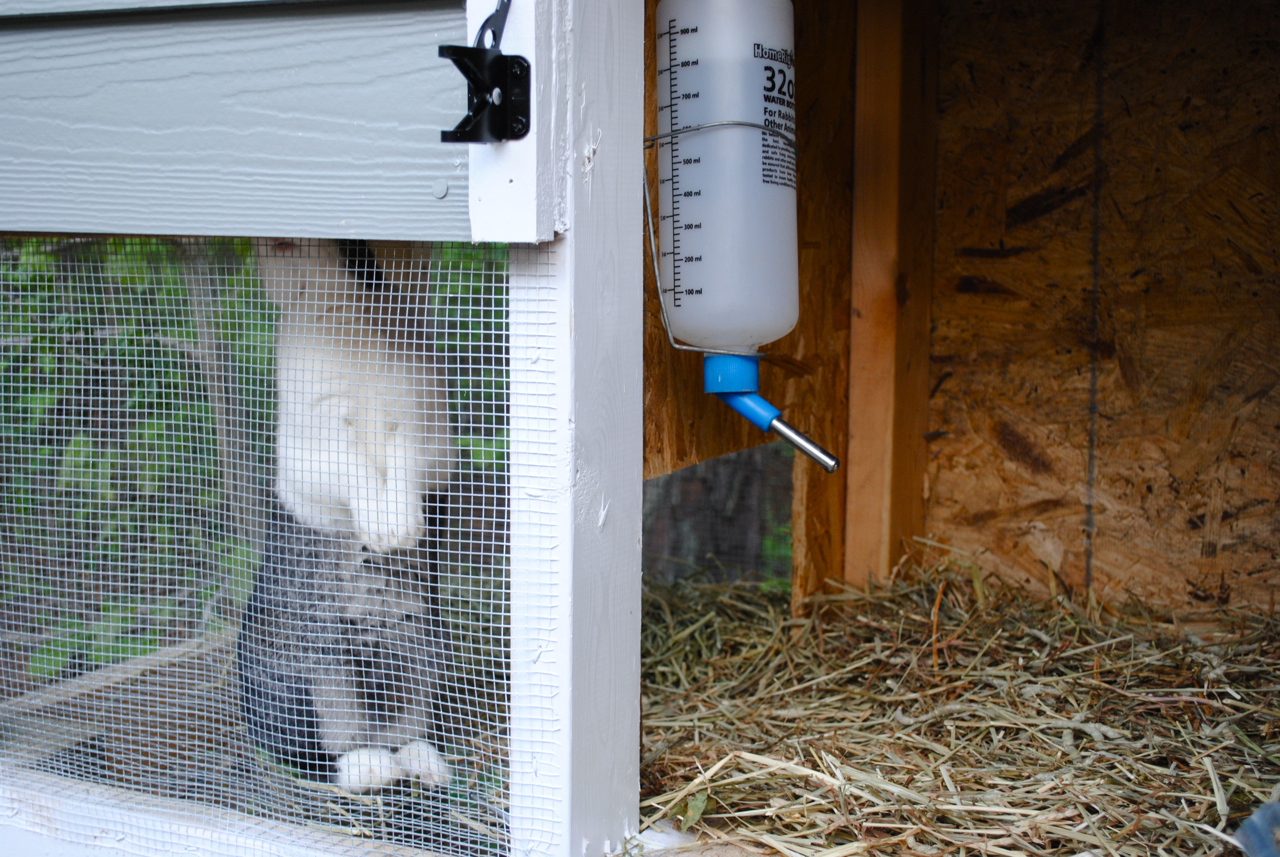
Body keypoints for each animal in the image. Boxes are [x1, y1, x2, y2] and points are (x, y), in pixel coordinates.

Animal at [237, 238, 459, 793]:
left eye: (357, 250)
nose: (279, 242)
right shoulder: (316, 442)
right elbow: (353, 469)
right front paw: (383, 533)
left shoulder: (424, 433)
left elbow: (403, 459)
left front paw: (397, 532)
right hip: (315, 680)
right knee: (322, 752)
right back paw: (372, 770)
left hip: (421, 659)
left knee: (405, 729)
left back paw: (425, 766)